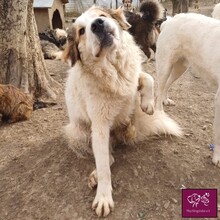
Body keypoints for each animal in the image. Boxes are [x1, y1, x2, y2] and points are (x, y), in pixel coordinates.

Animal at [62, 5, 182, 217]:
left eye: (101, 16)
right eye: (82, 31)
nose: (97, 24)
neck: (113, 68)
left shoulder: (131, 79)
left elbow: (147, 76)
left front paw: (148, 104)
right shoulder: (99, 127)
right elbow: (103, 166)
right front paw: (103, 197)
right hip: (78, 132)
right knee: (106, 156)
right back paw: (95, 175)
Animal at [156, 12, 220, 167]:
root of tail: (170, 19)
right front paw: (217, 157)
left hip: (180, 68)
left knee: (166, 86)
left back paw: (166, 100)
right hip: (165, 66)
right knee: (158, 90)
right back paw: (160, 114)